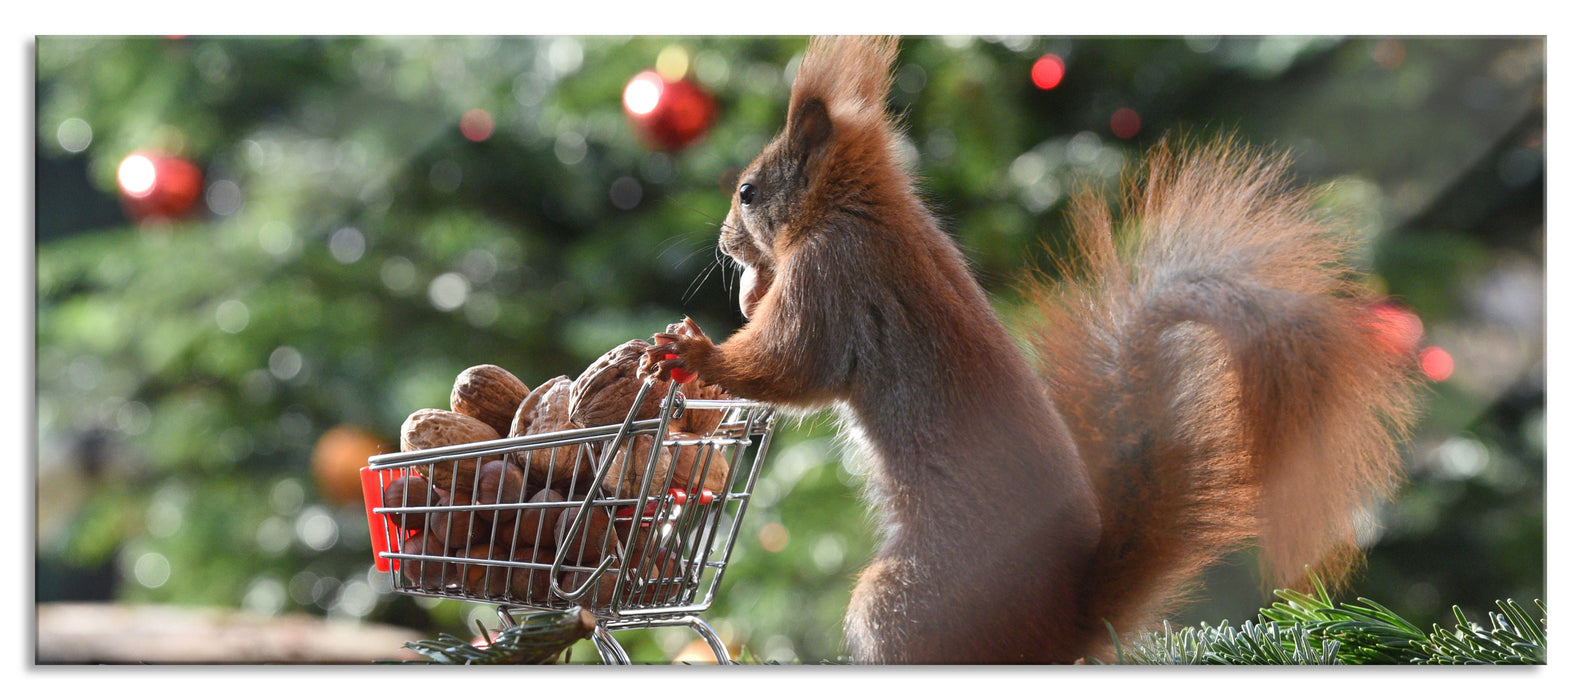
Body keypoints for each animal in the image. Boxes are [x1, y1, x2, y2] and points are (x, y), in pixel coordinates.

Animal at [639, 36, 1423, 661]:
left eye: (746, 191)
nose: (725, 246)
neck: (860, 208)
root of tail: (1063, 630)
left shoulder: (835, 277)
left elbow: (792, 364)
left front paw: (698, 352)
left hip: (905, 599)